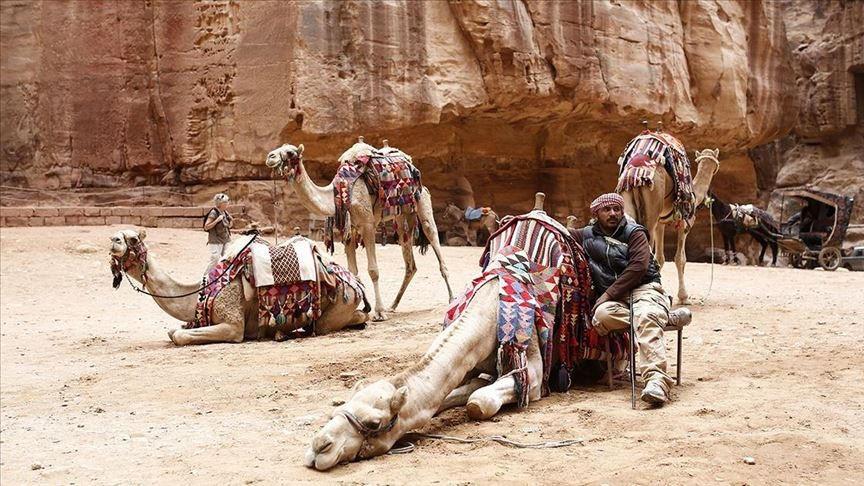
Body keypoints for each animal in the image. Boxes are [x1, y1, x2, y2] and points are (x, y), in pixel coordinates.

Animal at [108, 229, 368, 346]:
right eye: (118, 236)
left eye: (133, 238)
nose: (113, 240)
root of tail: (356, 285)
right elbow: (173, 331)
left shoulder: (233, 326)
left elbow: (180, 335)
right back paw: (282, 332)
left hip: (340, 304)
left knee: (342, 320)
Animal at [264, 141, 452, 322]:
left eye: (290, 152)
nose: (270, 156)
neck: (336, 195)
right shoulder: (350, 230)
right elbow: (353, 273)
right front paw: (360, 308)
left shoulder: (368, 224)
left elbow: (373, 271)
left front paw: (379, 313)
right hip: (403, 216)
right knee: (410, 264)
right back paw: (393, 305)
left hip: (422, 201)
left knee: (434, 240)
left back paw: (451, 299)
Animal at [616, 139, 720, 304]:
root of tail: (636, 172)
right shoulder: (685, 222)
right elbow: (680, 259)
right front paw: (683, 297)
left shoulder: (661, 223)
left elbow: (660, 258)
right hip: (653, 201)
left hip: (627, 198)